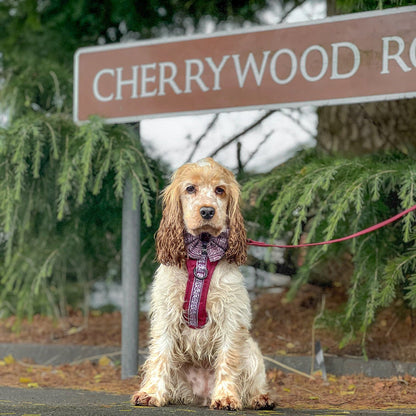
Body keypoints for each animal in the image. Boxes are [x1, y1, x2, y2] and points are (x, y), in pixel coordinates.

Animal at [132, 158, 276, 412]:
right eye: (190, 188)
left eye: (220, 190)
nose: (208, 211)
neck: (203, 251)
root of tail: (202, 396)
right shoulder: (166, 314)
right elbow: (160, 355)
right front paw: (150, 393)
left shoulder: (231, 317)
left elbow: (228, 358)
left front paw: (226, 397)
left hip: (251, 350)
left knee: (254, 383)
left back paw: (261, 398)